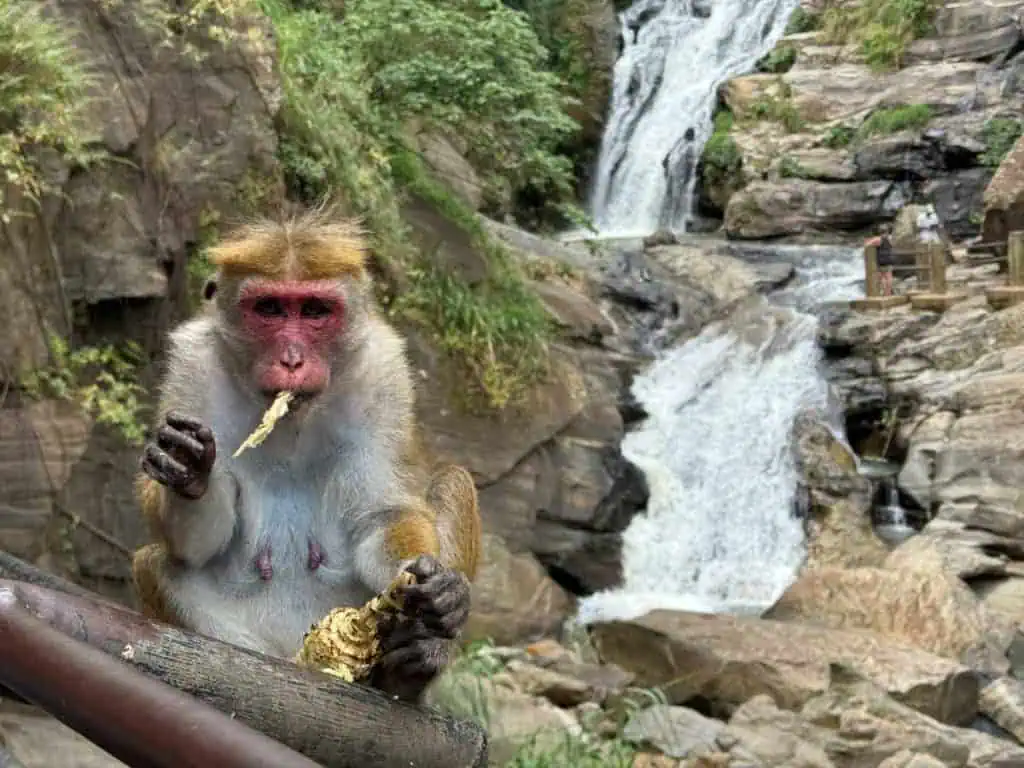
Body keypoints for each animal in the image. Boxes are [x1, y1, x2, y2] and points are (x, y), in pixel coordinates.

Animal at [131, 210, 482, 703]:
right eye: (270, 309)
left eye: (315, 311)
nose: (293, 360)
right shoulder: (193, 366)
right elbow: (197, 547)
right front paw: (188, 470)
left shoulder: (383, 371)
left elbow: (383, 514)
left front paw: (435, 587)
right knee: (154, 565)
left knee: (453, 480)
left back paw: (413, 665)